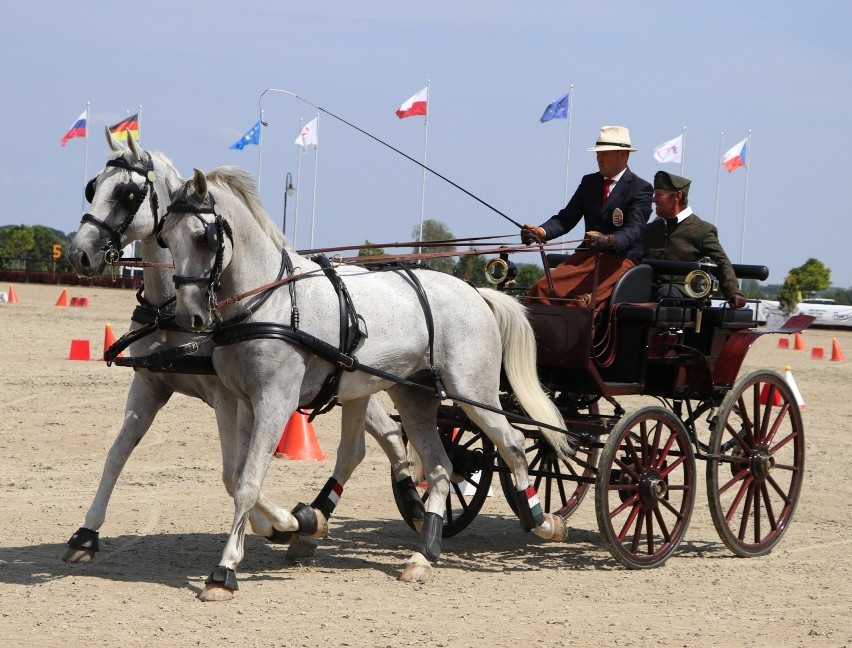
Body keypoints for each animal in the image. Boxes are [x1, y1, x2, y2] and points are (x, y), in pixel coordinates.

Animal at [65, 129, 414, 564]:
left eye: (127, 193)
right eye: (92, 186)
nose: (80, 252)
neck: (172, 312)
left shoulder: (225, 397)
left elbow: (234, 474)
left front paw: (281, 524)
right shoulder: (150, 384)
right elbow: (117, 453)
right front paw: (85, 533)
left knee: (383, 435)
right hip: (346, 385)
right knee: (380, 435)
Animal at [156, 168, 576, 604]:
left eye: (203, 237)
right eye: (165, 236)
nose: (188, 317)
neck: (271, 301)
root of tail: (477, 292)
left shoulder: (275, 402)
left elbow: (247, 484)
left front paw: (224, 572)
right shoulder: (244, 402)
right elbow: (237, 477)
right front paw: (291, 524)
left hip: (473, 392)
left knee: (512, 444)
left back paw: (542, 521)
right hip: (415, 396)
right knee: (441, 466)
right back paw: (424, 553)